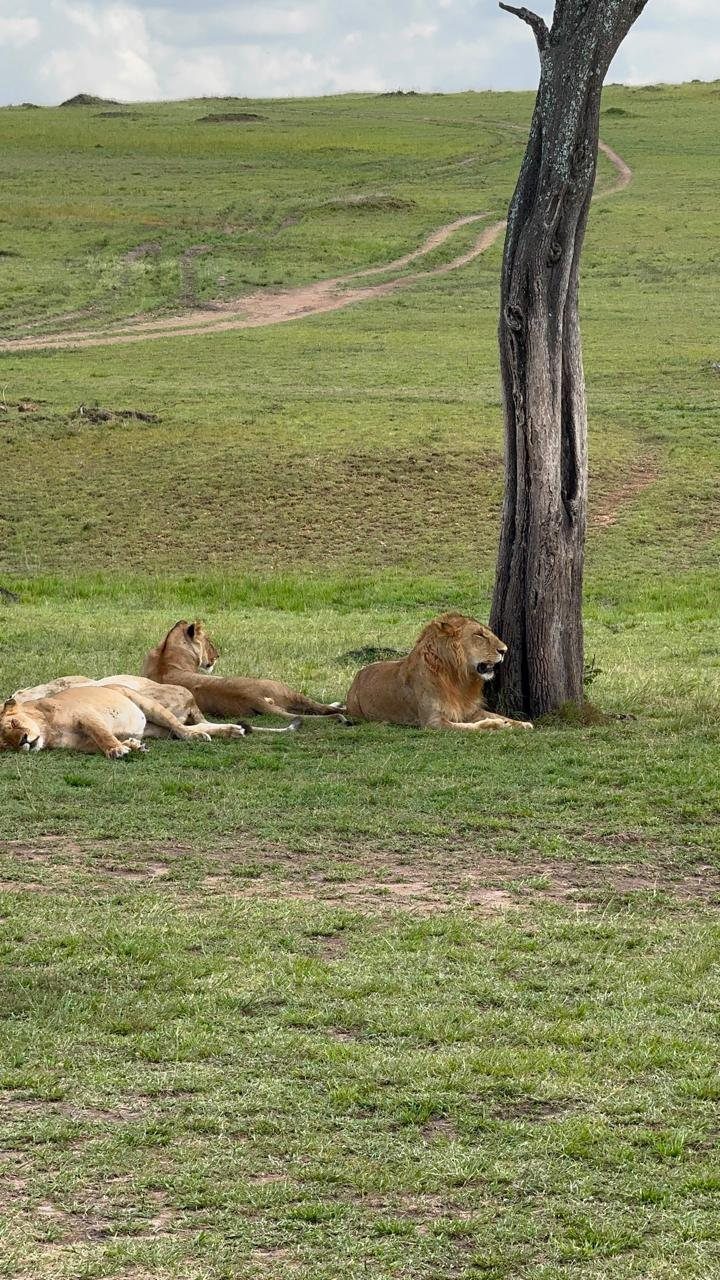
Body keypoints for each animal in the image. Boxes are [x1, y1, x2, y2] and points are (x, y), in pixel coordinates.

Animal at [141, 620, 345, 720]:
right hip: (282, 687)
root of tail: (251, 697)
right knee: (319, 707)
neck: (167, 654)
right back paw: (339, 707)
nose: (218, 655)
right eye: (210, 641)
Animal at [345, 612, 533, 731]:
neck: (458, 679)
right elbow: (468, 727)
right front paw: (493, 725)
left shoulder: (471, 710)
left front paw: (521, 724)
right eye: (479, 635)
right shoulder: (433, 721)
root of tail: (359, 674)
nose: (504, 650)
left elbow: (499, 715)